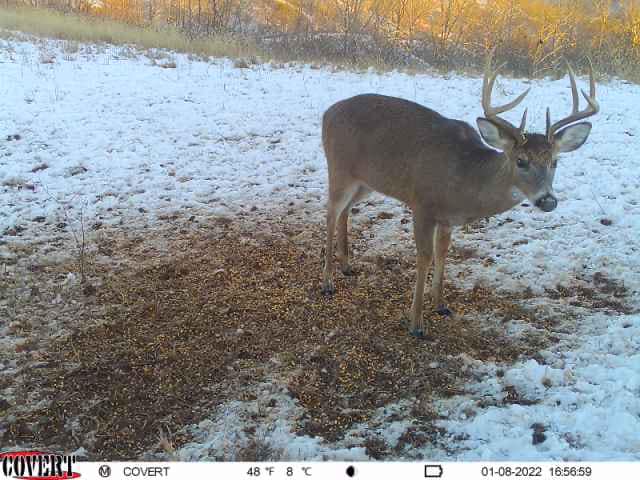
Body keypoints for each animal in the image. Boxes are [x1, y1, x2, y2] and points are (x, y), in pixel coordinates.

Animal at [321, 55, 599, 338]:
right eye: (521, 161)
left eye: (555, 162)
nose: (548, 200)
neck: (464, 182)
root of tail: (328, 112)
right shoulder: (422, 204)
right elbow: (425, 257)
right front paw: (416, 324)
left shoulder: (447, 219)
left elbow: (443, 253)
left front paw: (441, 304)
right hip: (339, 168)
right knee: (331, 212)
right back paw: (328, 281)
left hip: (365, 181)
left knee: (345, 211)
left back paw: (346, 265)